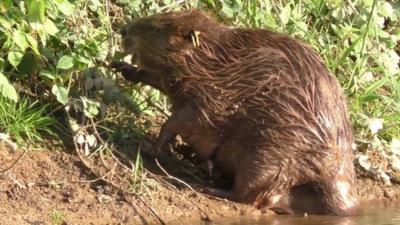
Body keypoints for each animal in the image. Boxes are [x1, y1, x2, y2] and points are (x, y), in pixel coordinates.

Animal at [112, 9, 360, 215]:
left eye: (155, 28)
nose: (123, 30)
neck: (216, 59)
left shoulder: (212, 96)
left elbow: (182, 120)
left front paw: (154, 147)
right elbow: (160, 79)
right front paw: (123, 68)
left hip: (270, 153)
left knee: (249, 194)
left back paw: (203, 186)